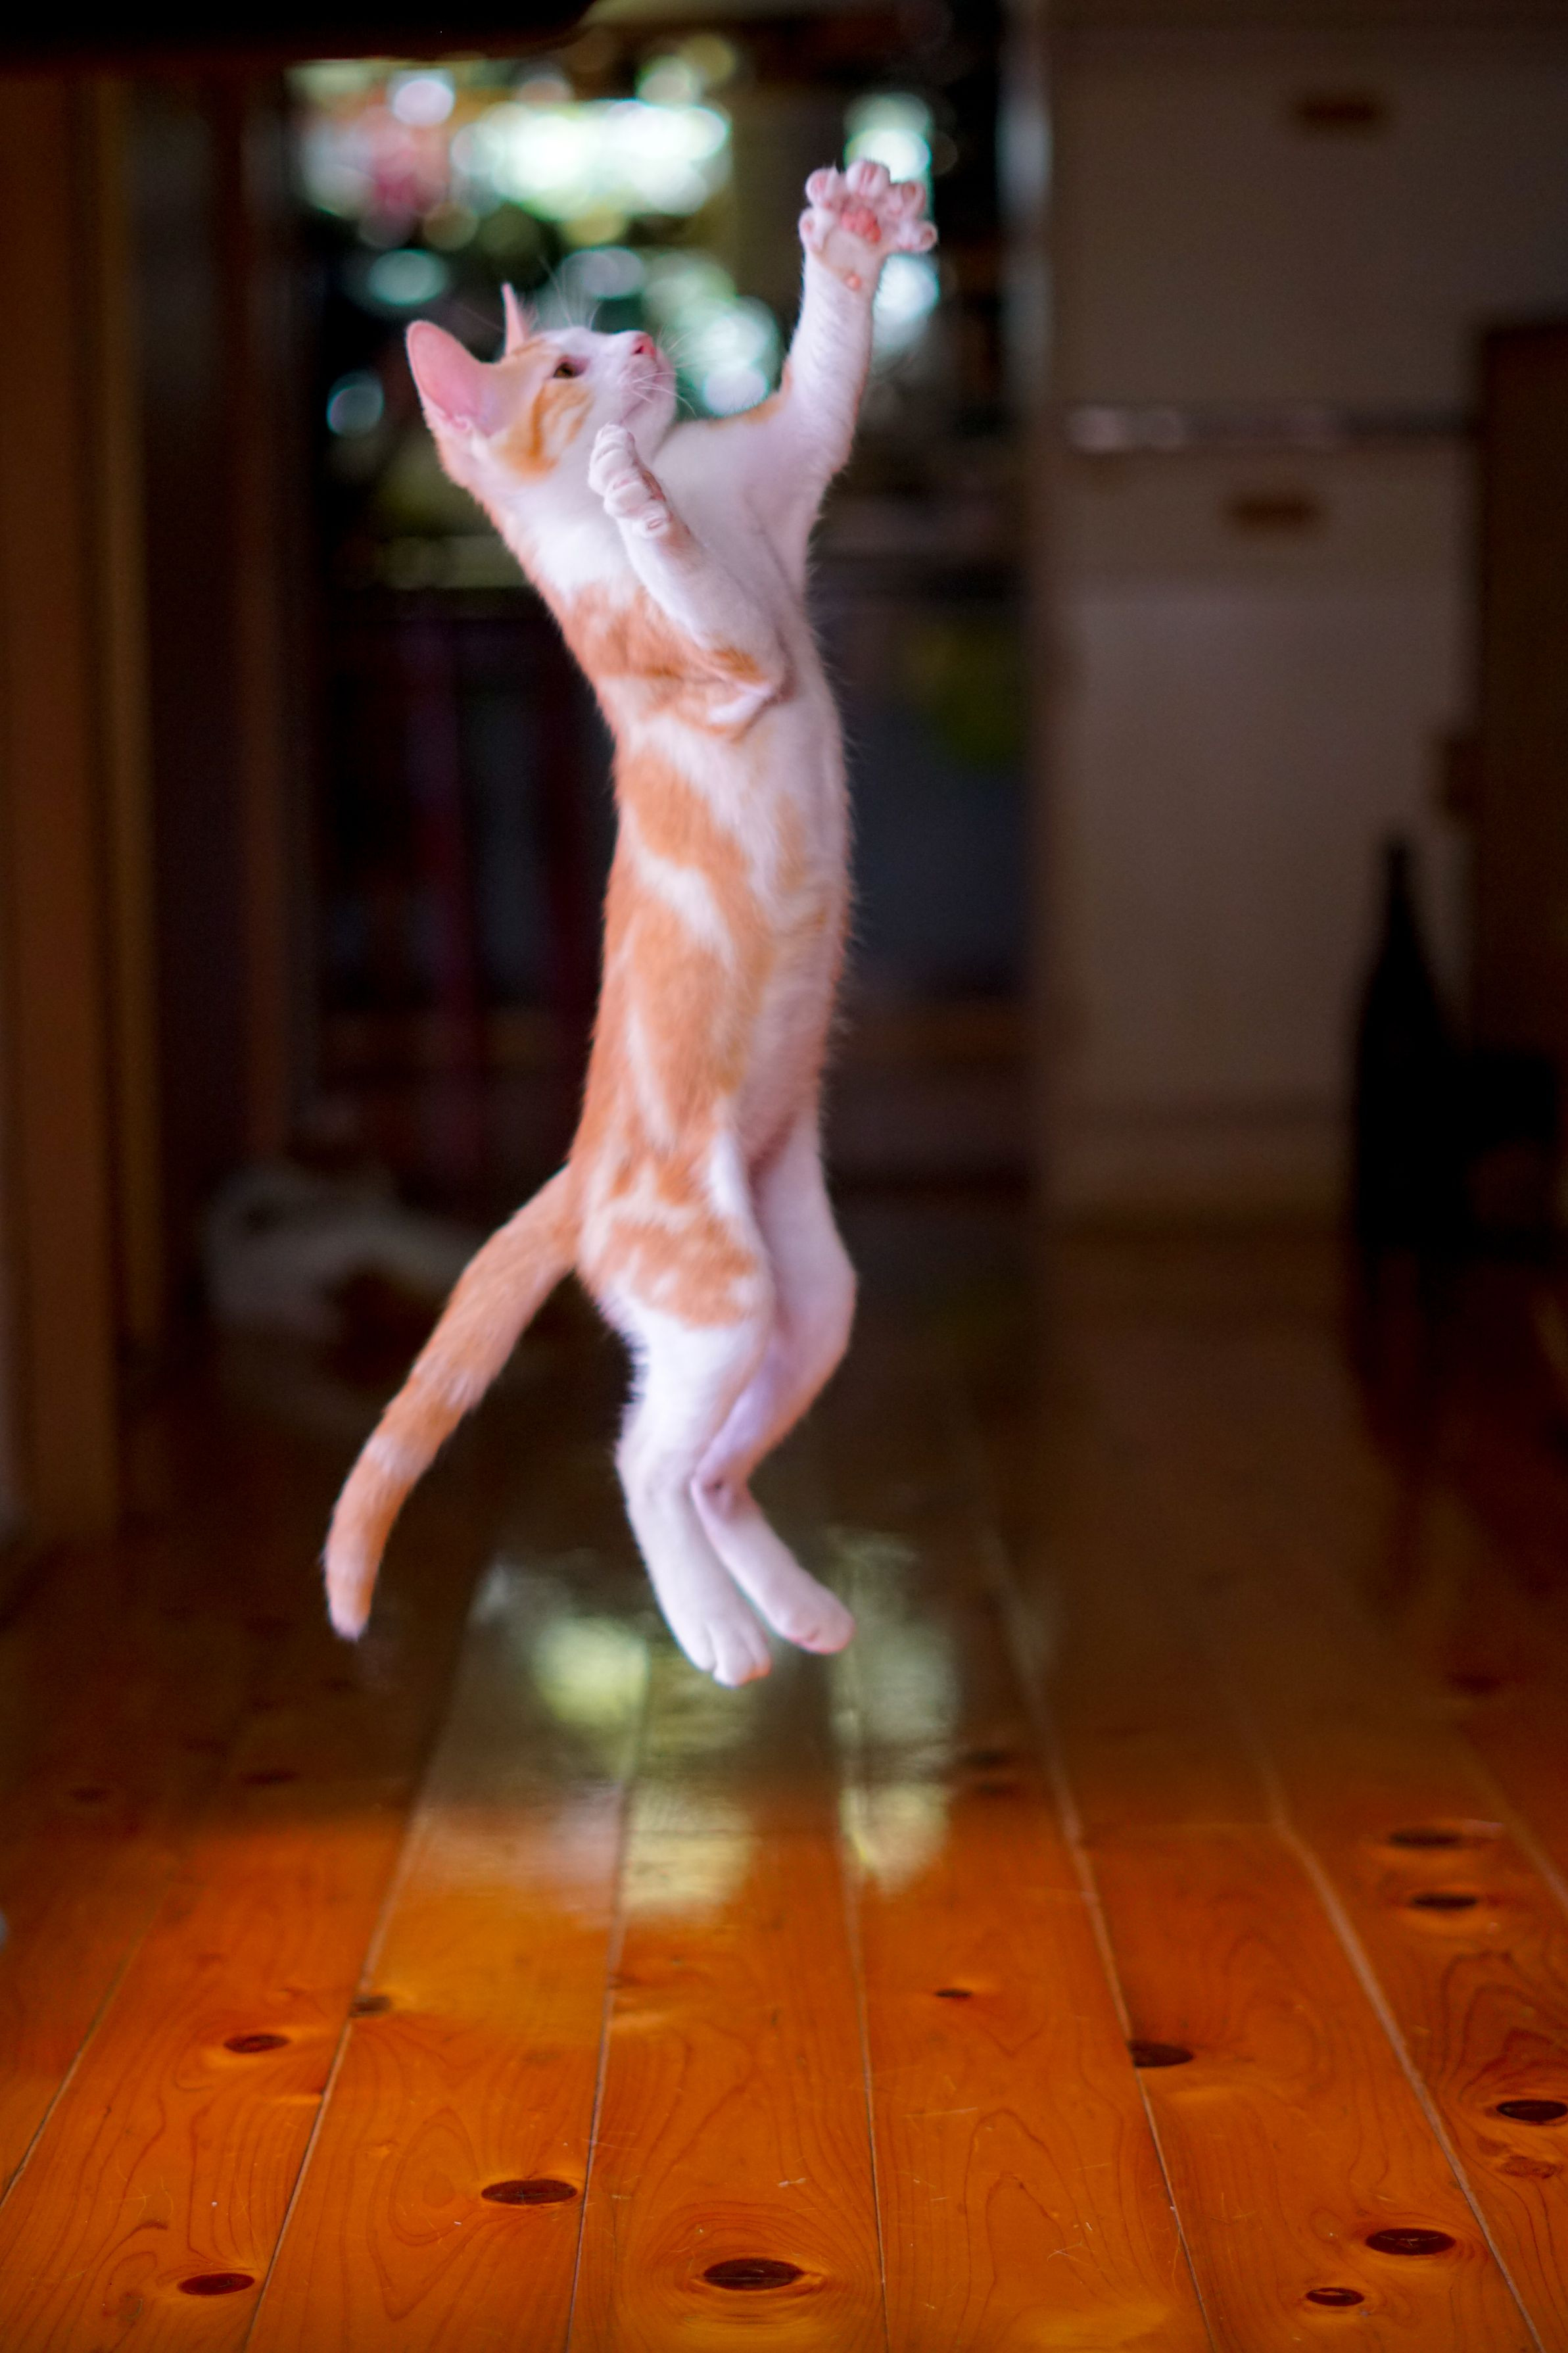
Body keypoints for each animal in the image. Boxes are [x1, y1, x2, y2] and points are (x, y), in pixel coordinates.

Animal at [323, 159, 937, 1685]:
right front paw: (638, 509)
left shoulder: (783, 478)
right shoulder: (709, 655)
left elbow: (826, 381)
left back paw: (787, 1606)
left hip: (806, 1289)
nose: (649, 346)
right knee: (643, 1461)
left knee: (711, 1463)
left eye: (604, 333)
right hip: (712, 1290)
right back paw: (716, 1628)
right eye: (561, 370)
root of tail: (586, 1172)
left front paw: (853, 239)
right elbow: (693, 595)